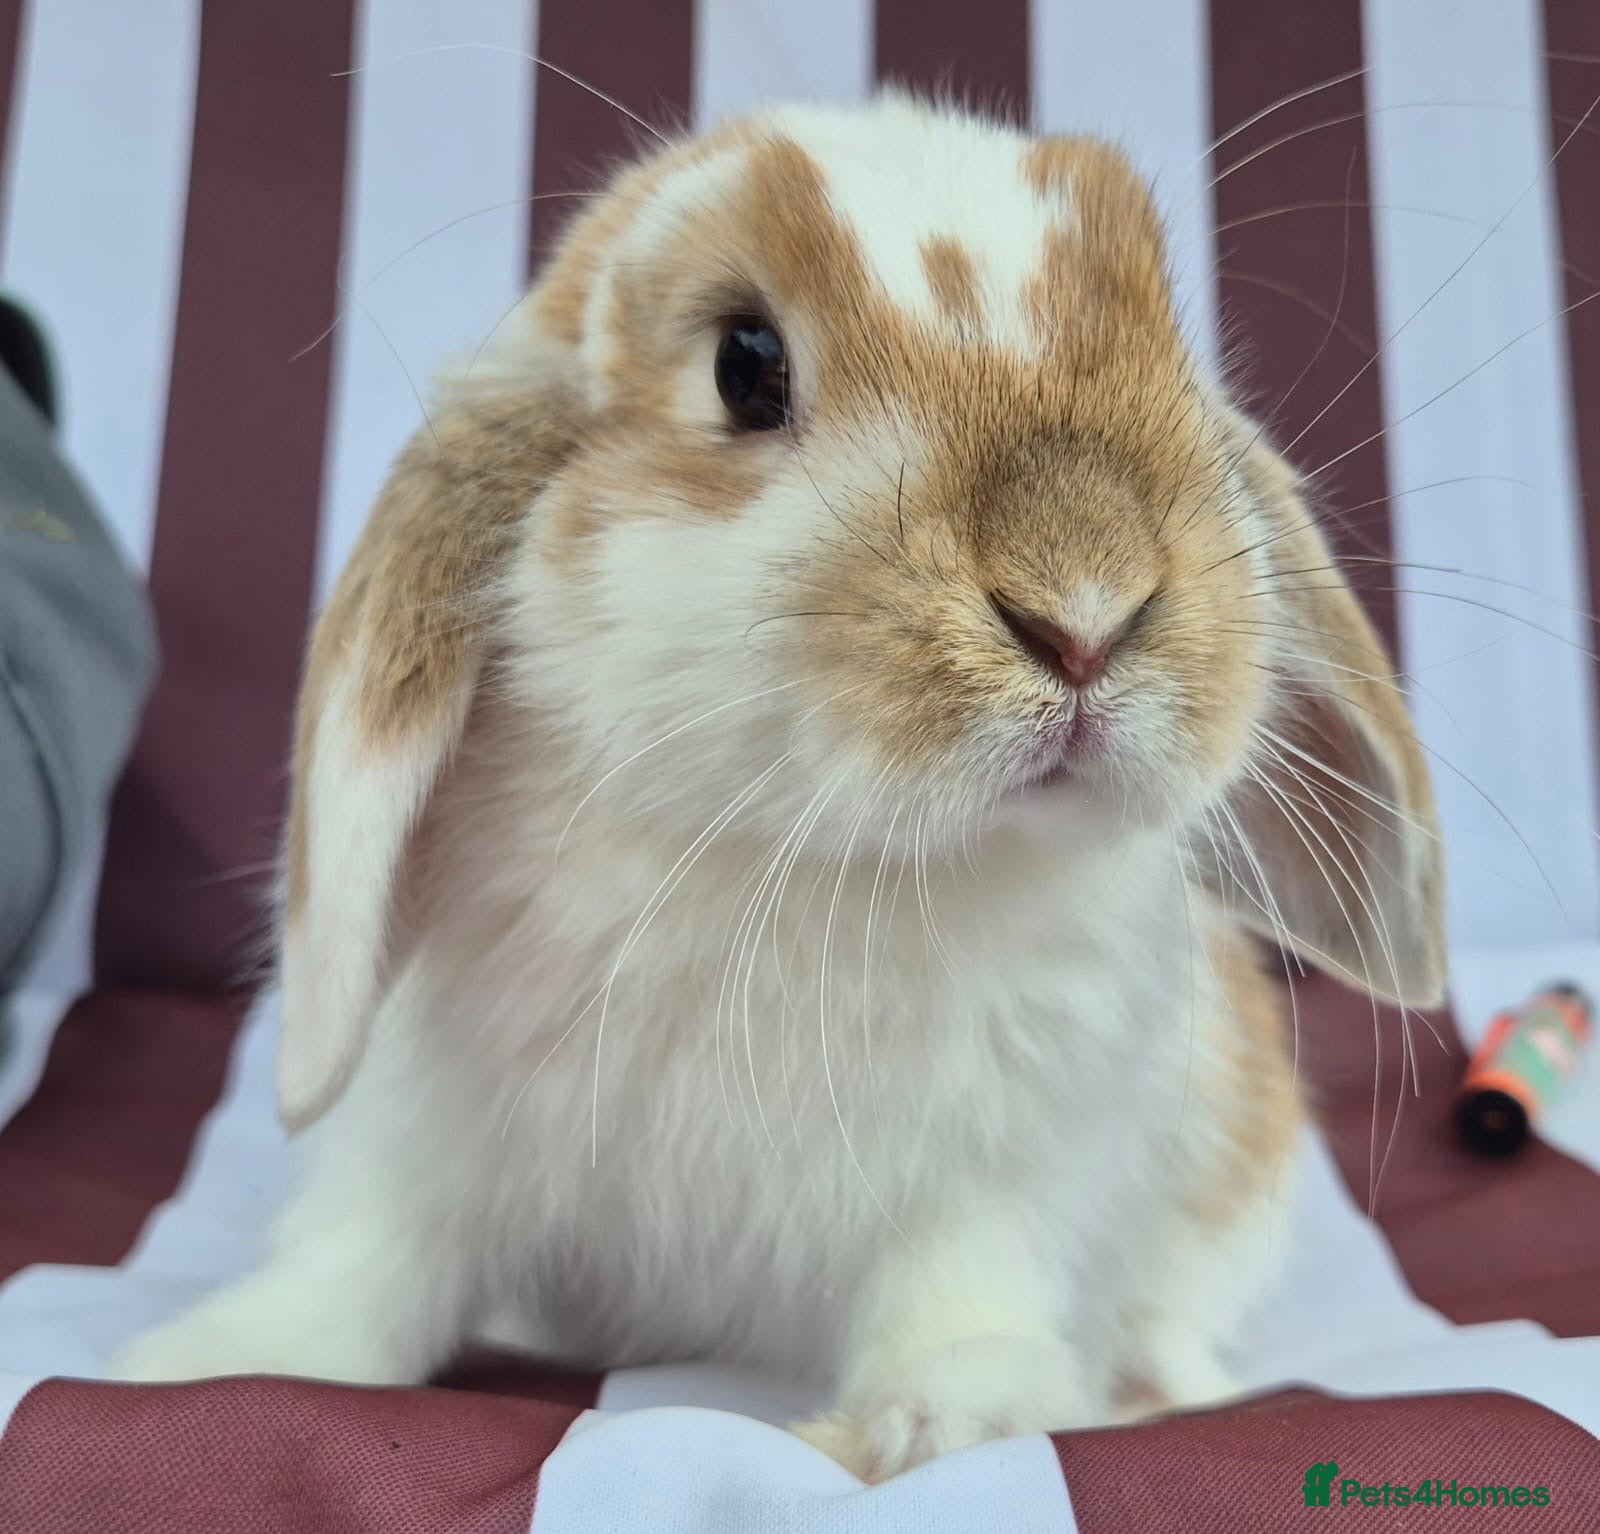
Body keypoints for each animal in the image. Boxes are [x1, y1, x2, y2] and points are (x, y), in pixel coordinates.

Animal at [114, 94, 1445, 1481]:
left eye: (1175, 357)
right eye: (745, 366)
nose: (1086, 610)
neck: (799, 859)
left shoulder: (1007, 1163)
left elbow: (966, 1284)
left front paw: (951, 1415)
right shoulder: (424, 1113)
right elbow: (375, 1249)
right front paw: (211, 1362)